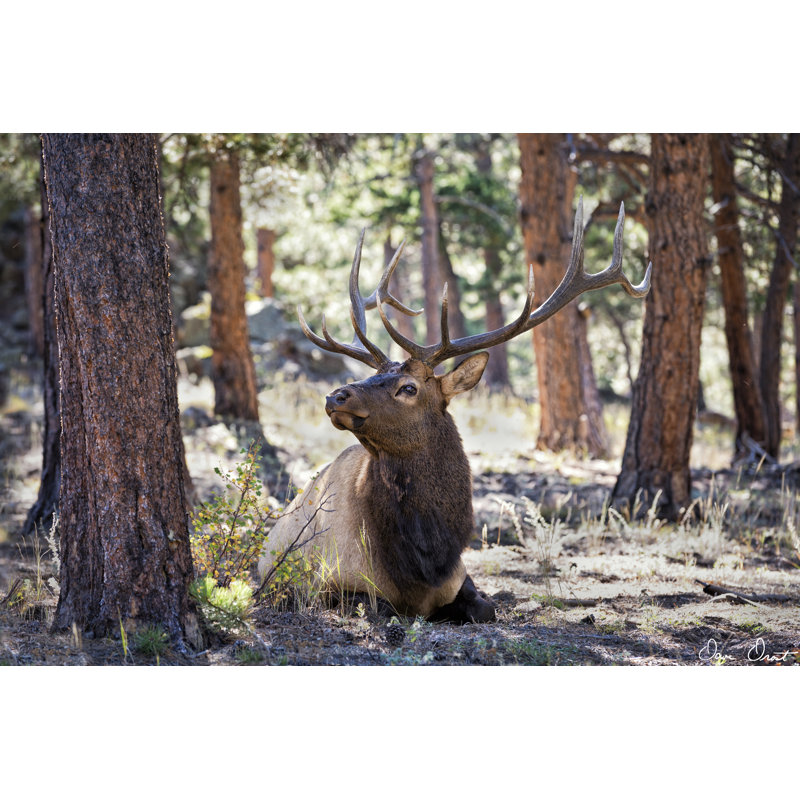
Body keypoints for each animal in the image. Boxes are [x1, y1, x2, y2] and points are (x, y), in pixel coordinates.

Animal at [258, 199, 651, 623]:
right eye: (373, 376)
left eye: (408, 387)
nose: (335, 397)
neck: (424, 561)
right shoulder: (330, 583)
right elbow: (381, 606)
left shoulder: (462, 579)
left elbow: (487, 608)